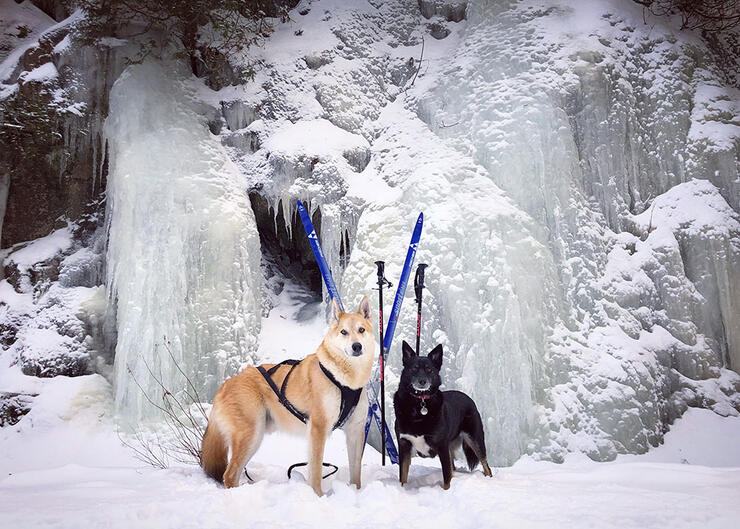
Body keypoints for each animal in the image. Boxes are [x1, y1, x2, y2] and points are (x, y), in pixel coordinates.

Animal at [201, 294, 376, 492]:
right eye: (344, 332)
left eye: (361, 330)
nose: (357, 346)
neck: (346, 381)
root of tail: (226, 384)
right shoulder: (318, 429)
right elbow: (316, 473)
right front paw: (318, 496)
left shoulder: (355, 431)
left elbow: (356, 473)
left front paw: (356, 492)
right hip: (252, 435)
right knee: (229, 475)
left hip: (254, 436)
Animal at [394, 340, 492, 488]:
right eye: (414, 368)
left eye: (429, 369)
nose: (422, 381)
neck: (419, 403)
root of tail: (468, 398)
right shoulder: (404, 444)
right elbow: (403, 476)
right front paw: (402, 489)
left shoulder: (441, 446)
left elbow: (446, 478)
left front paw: (447, 490)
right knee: (453, 467)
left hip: (475, 439)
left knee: (485, 465)